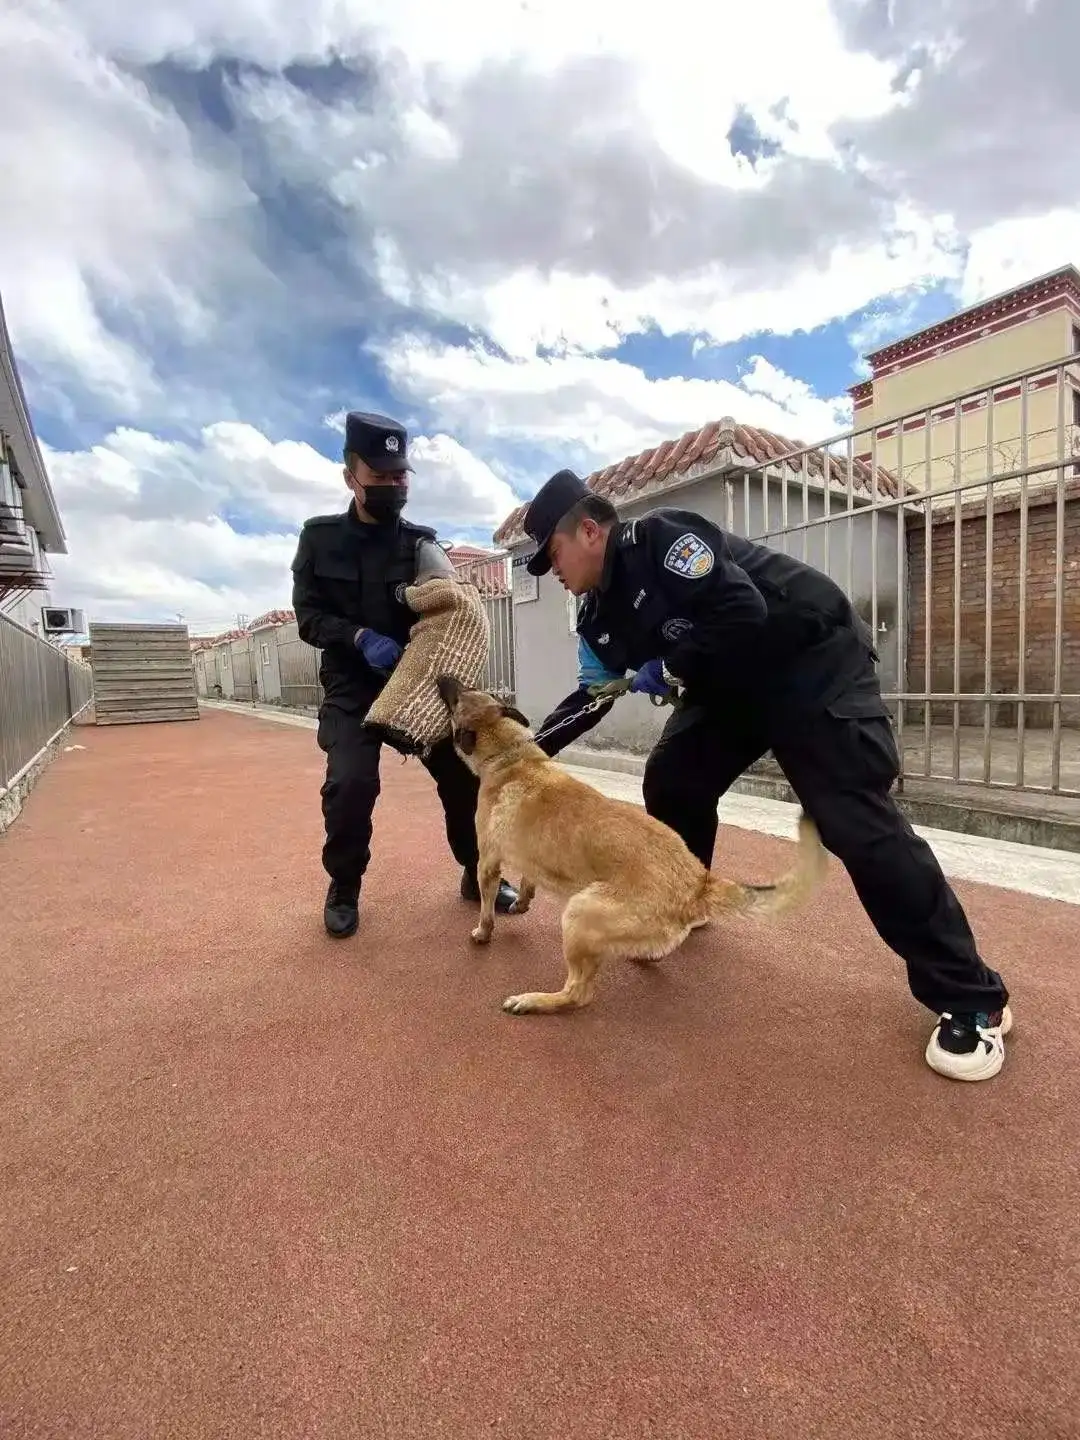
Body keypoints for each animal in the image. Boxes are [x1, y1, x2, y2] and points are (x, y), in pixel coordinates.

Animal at [434, 673, 835, 1013]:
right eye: (471, 688)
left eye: (456, 699)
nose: (441, 676)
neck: (512, 756)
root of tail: (698, 882)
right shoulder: (529, 855)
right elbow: (528, 881)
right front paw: (520, 902)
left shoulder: (488, 860)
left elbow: (487, 907)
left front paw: (483, 932)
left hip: (578, 912)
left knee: (579, 993)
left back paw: (535, 1001)